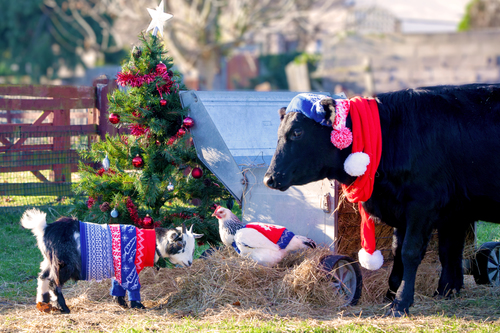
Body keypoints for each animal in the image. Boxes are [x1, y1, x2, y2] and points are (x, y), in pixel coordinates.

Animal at [21, 208, 201, 312]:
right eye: (181, 244)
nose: (190, 263)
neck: (151, 242)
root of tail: (45, 229)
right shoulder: (128, 267)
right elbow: (133, 286)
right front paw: (138, 306)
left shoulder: (119, 268)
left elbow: (118, 286)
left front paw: (121, 303)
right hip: (63, 264)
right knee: (53, 282)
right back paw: (64, 307)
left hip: (48, 261)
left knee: (42, 277)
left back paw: (43, 303)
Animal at [264, 83, 500, 314]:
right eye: (279, 133)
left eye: (297, 132)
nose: (269, 178)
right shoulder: (440, 211)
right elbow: (420, 251)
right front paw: (402, 293)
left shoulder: (422, 205)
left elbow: (410, 252)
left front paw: (402, 302)